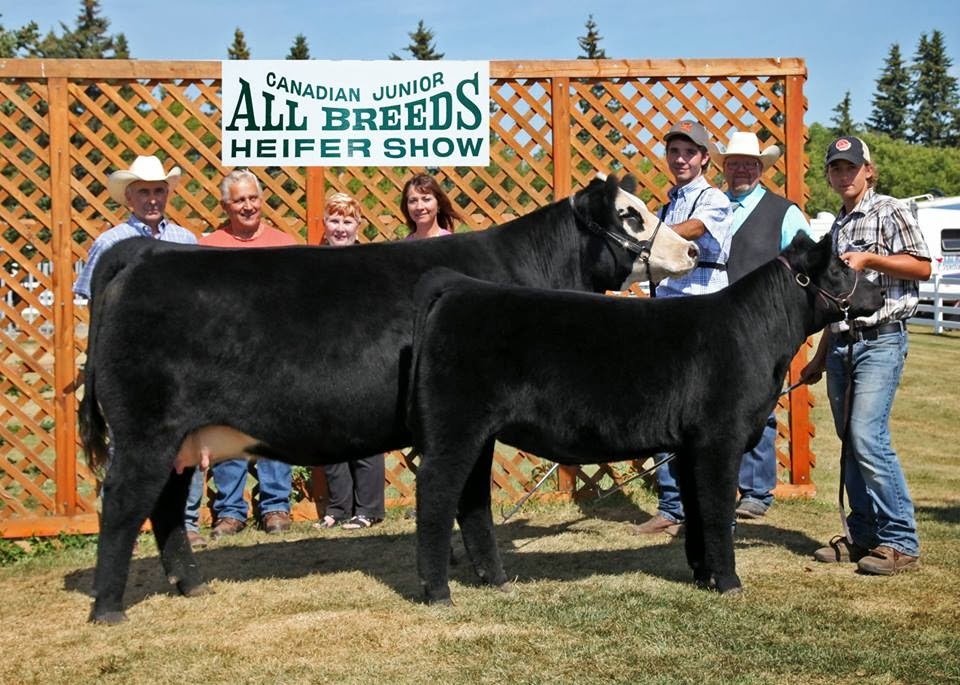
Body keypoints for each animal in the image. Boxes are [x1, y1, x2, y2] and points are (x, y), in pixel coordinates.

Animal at [80, 174, 699, 624]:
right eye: (630, 215)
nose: (693, 249)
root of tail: (146, 251)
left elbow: (471, 503)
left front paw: (490, 578)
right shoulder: (469, 420)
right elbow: (472, 501)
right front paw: (485, 577)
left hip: (180, 438)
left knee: (163, 505)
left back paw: (191, 587)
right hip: (146, 429)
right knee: (123, 503)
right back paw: (109, 610)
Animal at [406, 233, 884, 604]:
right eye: (840, 268)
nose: (879, 293)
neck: (754, 332)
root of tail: (458, 289)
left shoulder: (689, 445)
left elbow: (696, 512)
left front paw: (703, 574)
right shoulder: (719, 438)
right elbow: (715, 511)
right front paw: (729, 582)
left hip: (478, 433)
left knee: (471, 499)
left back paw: (497, 581)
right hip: (455, 427)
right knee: (435, 491)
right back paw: (438, 592)